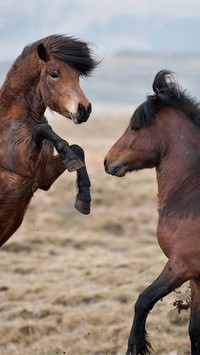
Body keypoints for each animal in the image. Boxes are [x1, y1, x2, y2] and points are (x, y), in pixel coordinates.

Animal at [0, 34, 98, 249]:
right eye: (54, 74)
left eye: (77, 76)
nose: (84, 109)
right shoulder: (21, 165)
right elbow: (44, 130)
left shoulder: (42, 178)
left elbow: (77, 149)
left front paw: (83, 199)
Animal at [104, 70, 200, 355]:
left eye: (135, 127)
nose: (107, 161)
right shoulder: (196, 278)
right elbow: (195, 330)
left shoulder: (181, 265)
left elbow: (143, 300)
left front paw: (135, 345)